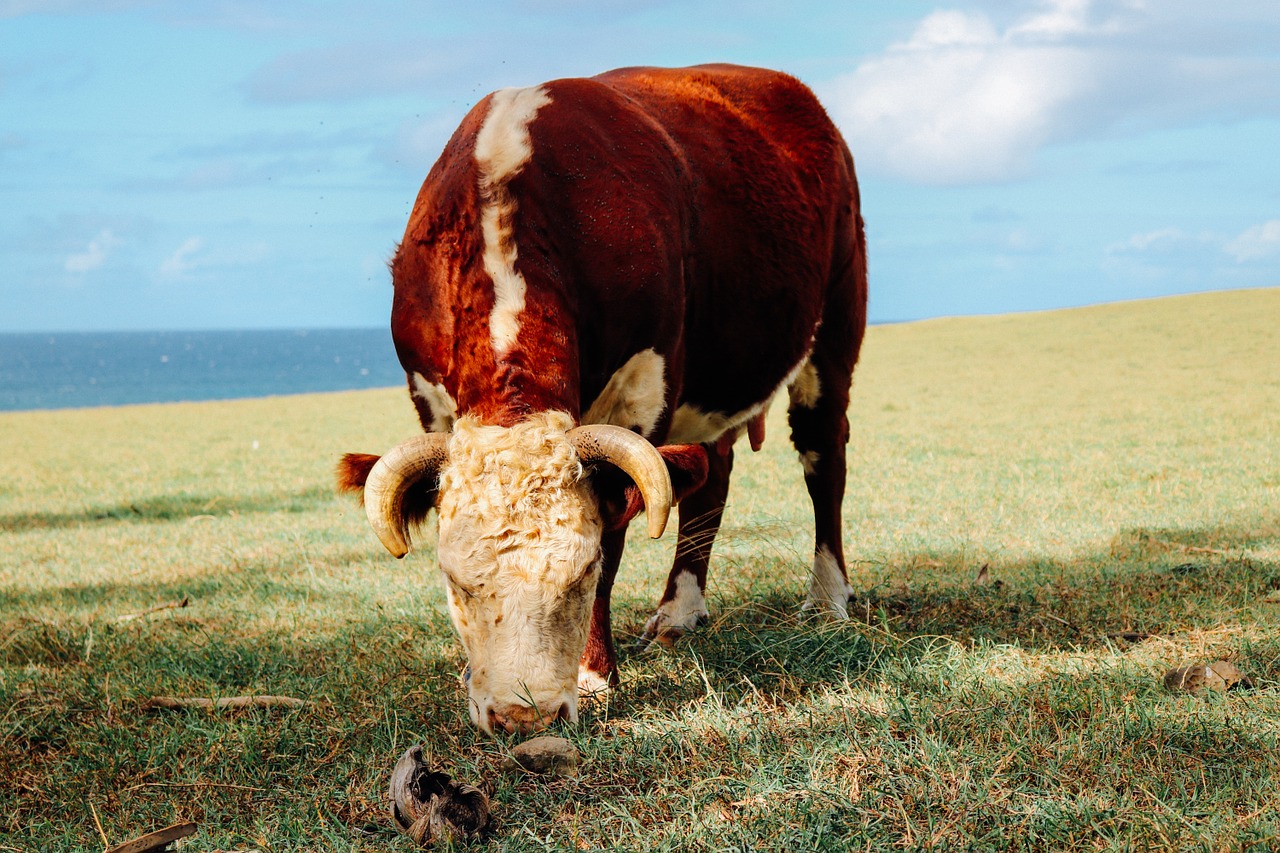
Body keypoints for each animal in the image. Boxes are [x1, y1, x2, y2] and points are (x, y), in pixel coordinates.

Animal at [337, 64, 870, 732]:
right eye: (454, 581)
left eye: (582, 572)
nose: (524, 718)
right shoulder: (429, 396)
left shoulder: (643, 394)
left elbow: (617, 537)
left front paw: (594, 676)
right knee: (712, 476)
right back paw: (678, 613)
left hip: (833, 331)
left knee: (825, 462)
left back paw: (827, 598)